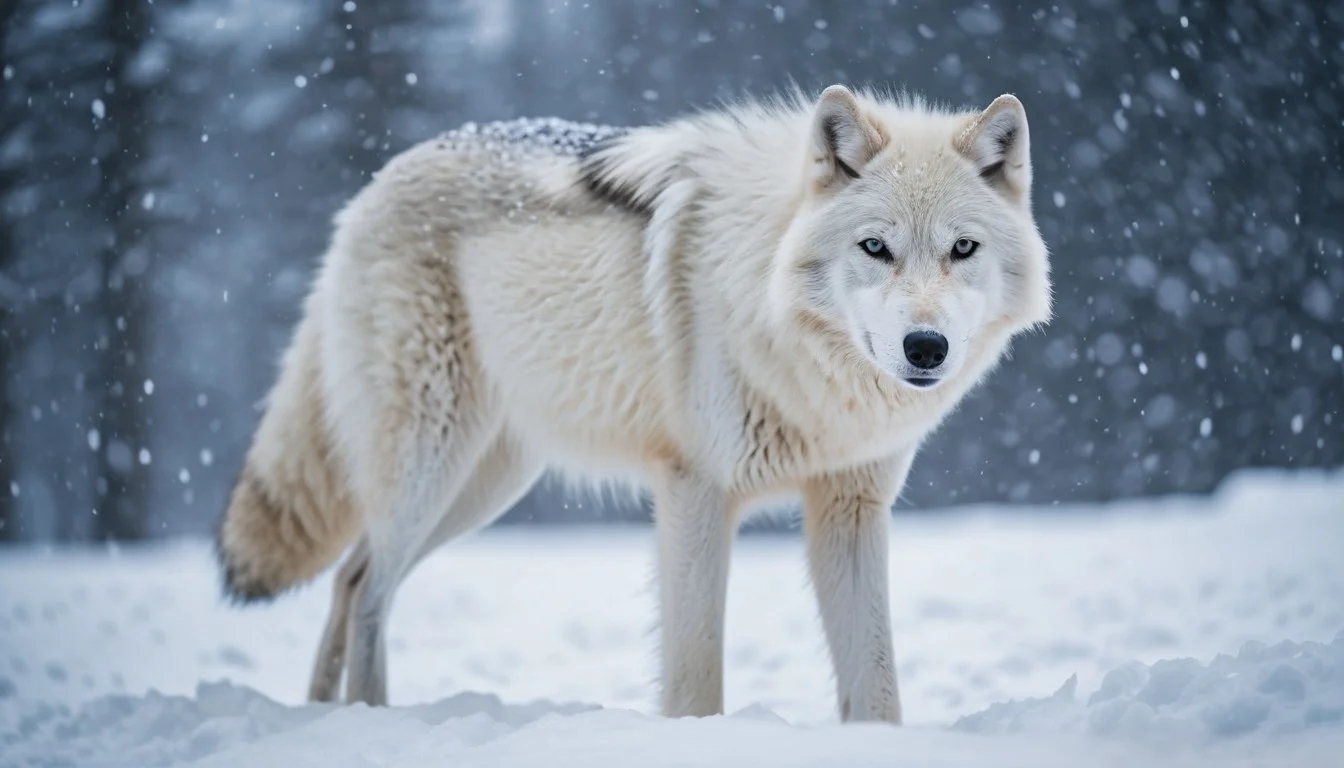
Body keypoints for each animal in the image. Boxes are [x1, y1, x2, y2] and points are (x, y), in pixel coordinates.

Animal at [214, 84, 1052, 724]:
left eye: (963, 249)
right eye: (876, 248)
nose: (925, 348)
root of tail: (371, 186)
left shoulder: (850, 510)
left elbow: (876, 682)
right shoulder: (695, 491)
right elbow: (695, 674)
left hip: (484, 484)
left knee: (349, 576)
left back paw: (325, 716)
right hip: (431, 462)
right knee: (367, 589)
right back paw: (367, 719)